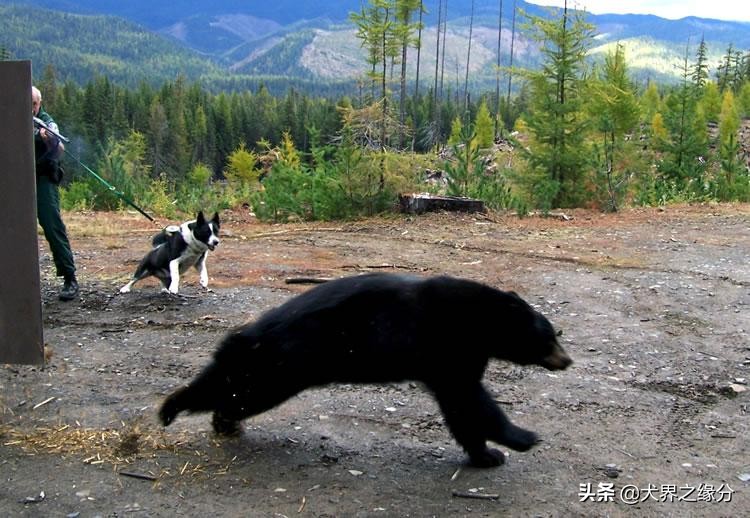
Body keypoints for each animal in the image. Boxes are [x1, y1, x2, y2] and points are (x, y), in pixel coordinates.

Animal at [159, 273, 572, 467]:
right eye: (549, 336)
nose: (567, 360)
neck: (478, 320)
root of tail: (245, 333)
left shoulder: (448, 364)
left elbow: (459, 406)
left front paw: (484, 454)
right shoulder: (447, 348)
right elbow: (472, 399)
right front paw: (520, 438)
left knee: (226, 386)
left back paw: (217, 420)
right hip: (279, 368)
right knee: (237, 392)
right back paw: (186, 412)